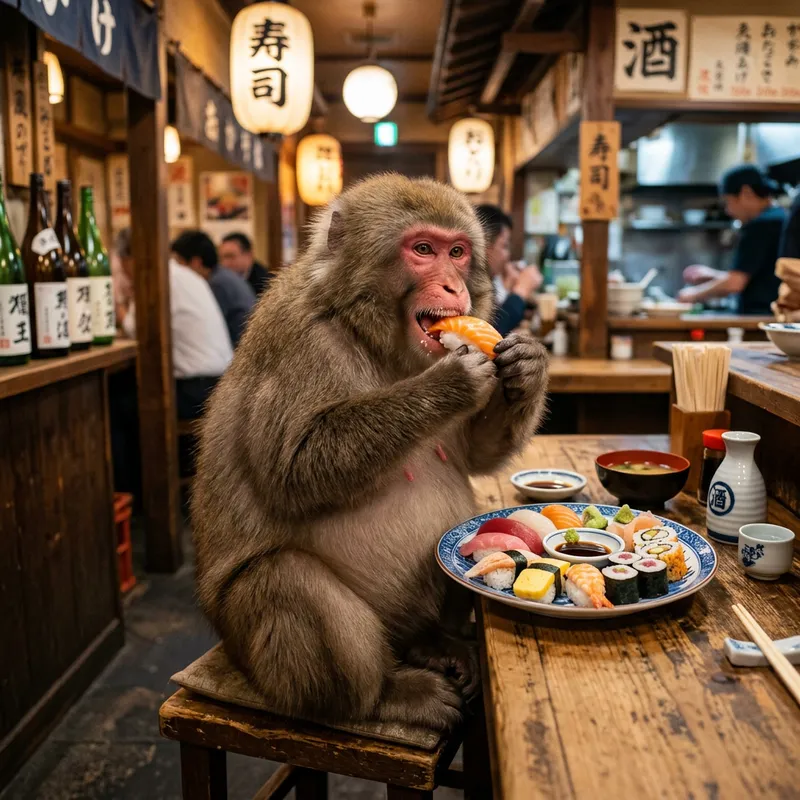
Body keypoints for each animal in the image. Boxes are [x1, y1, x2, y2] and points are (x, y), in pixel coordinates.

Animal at [192, 174, 549, 731]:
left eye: (458, 252)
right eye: (423, 250)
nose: (455, 287)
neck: (365, 332)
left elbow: (474, 456)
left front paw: (528, 364)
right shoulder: (301, 340)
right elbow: (291, 469)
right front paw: (451, 383)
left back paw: (433, 643)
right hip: (251, 644)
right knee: (283, 577)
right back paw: (384, 696)